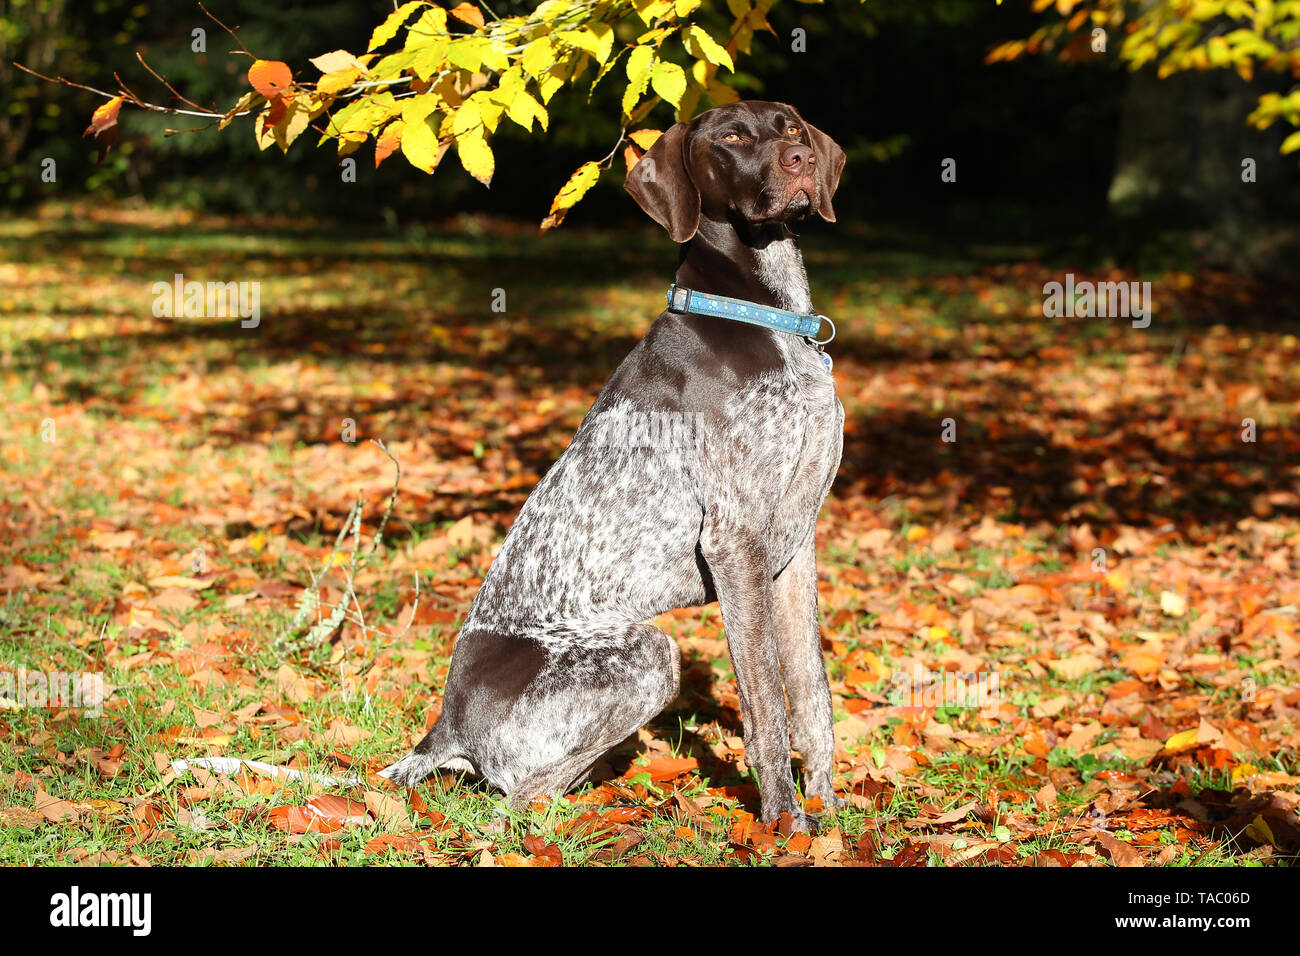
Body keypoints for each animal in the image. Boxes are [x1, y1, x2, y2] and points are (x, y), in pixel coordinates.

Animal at [379, 98, 847, 832]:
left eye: (792, 128)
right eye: (732, 137)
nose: (799, 163)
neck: (767, 318)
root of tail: (444, 727)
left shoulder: (796, 545)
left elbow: (812, 694)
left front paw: (827, 815)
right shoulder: (734, 541)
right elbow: (766, 708)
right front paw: (785, 827)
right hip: (648, 653)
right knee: (516, 801)